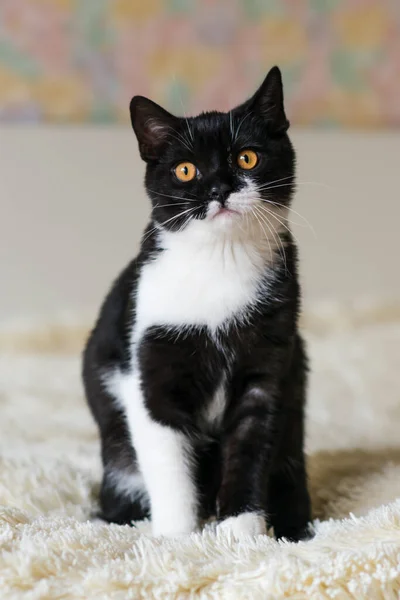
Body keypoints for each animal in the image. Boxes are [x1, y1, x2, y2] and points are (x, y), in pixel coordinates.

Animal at [82, 67, 312, 544]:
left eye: (247, 158)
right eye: (185, 170)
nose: (219, 189)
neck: (220, 261)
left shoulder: (268, 368)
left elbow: (251, 447)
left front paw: (242, 530)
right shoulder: (149, 367)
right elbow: (168, 461)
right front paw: (176, 537)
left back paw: (294, 525)